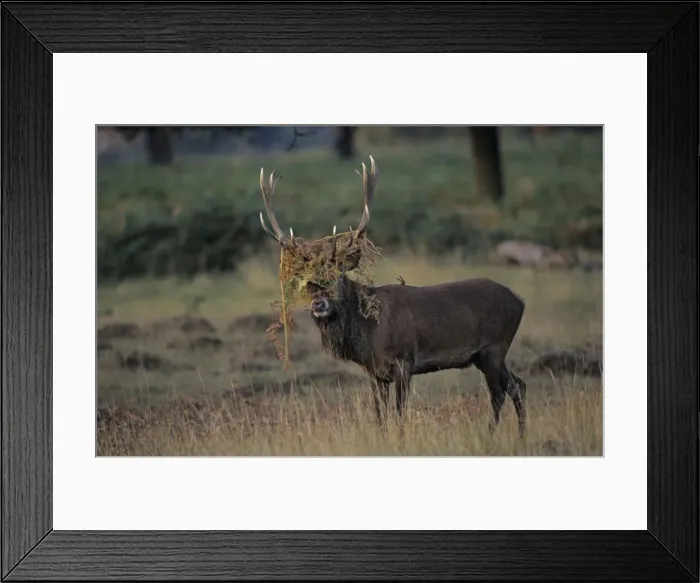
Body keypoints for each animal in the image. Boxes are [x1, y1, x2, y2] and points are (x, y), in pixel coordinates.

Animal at [258, 156, 528, 437]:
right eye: (309, 282)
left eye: (337, 276)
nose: (319, 304)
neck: (368, 335)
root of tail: (519, 300)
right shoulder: (374, 373)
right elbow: (379, 416)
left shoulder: (403, 361)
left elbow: (399, 414)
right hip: (486, 354)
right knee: (518, 385)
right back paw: (521, 435)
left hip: (493, 347)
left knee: (498, 393)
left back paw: (491, 434)